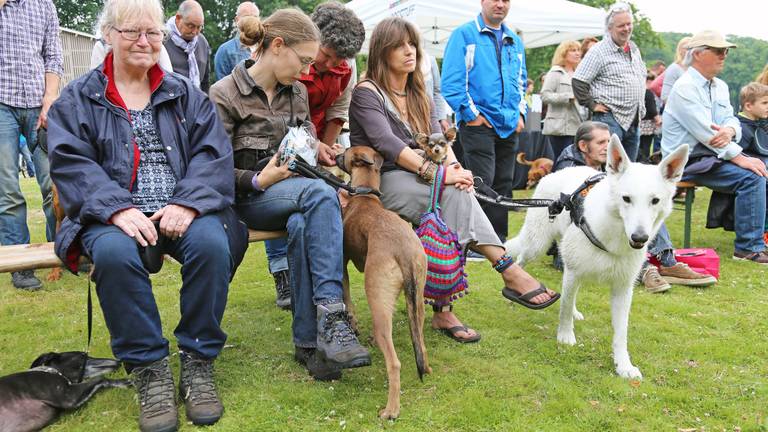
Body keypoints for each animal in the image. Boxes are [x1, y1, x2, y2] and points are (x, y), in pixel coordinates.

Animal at [0, 352, 130, 432]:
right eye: (83, 355)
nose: (119, 361)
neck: (51, 371)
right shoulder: (68, 396)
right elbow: (101, 378)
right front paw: (125, 381)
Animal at [336, 147, 432, 420]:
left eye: (346, 152)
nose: (334, 155)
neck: (365, 196)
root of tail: (404, 252)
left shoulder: (343, 264)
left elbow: (347, 297)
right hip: (417, 303)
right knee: (421, 343)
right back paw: (426, 368)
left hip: (378, 303)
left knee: (394, 363)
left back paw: (391, 410)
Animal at [504, 136, 688, 378]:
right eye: (626, 199)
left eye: (655, 201)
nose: (640, 237)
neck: (613, 236)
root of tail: (552, 173)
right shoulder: (574, 271)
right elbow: (564, 309)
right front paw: (565, 336)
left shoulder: (622, 289)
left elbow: (621, 333)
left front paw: (623, 365)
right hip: (538, 245)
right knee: (521, 261)